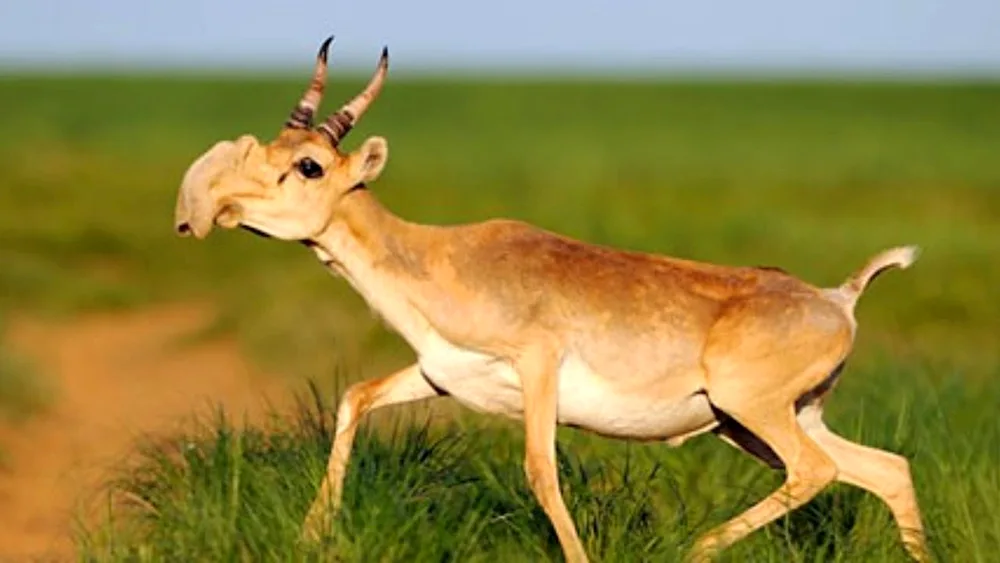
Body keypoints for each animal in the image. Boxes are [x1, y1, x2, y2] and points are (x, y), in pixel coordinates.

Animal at [174, 37, 928, 560]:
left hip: (752, 414)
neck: (439, 258)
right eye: (273, 145)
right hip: (765, 422)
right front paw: (311, 535)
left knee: (821, 470)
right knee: (885, 469)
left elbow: (541, 471)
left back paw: (698, 546)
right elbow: (355, 396)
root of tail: (838, 297)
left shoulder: (537, 368)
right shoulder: (439, 376)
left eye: (308, 165)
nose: (211, 207)